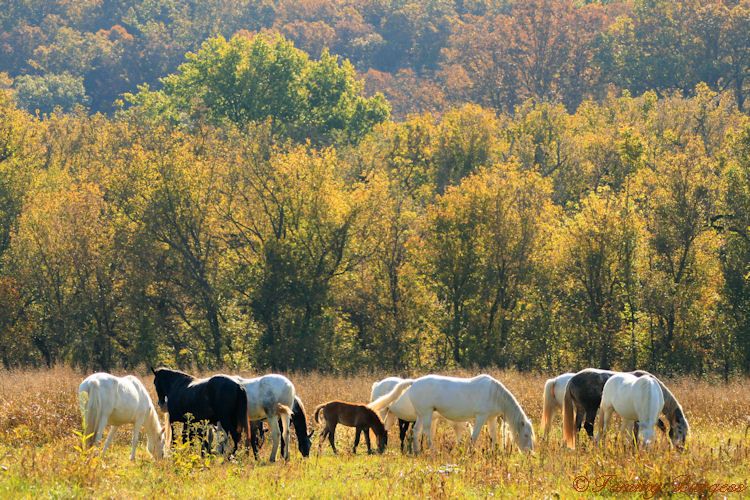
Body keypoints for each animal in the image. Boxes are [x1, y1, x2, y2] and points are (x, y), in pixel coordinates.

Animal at [403, 374, 534, 454]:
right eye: (526, 435)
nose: (530, 453)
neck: (494, 394)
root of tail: (414, 382)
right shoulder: (481, 416)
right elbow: (474, 436)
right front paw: (469, 453)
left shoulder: (491, 417)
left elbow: (493, 435)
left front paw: (494, 452)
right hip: (426, 413)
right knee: (426, 431)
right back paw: (433, 451)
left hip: (421, 414)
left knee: (416, 430)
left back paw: (416, 451)